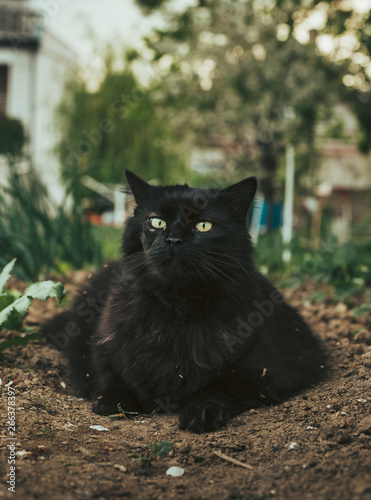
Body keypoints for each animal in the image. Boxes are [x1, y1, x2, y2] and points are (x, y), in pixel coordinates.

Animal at [42, 171, 326, 434]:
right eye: (157, 222)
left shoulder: (267, 372)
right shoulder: (103, 346)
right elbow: (109, 375)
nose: (174, 239)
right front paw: (114, 401)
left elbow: (220, 387)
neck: (176, 308)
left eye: (204, 226)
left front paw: (201, 412)